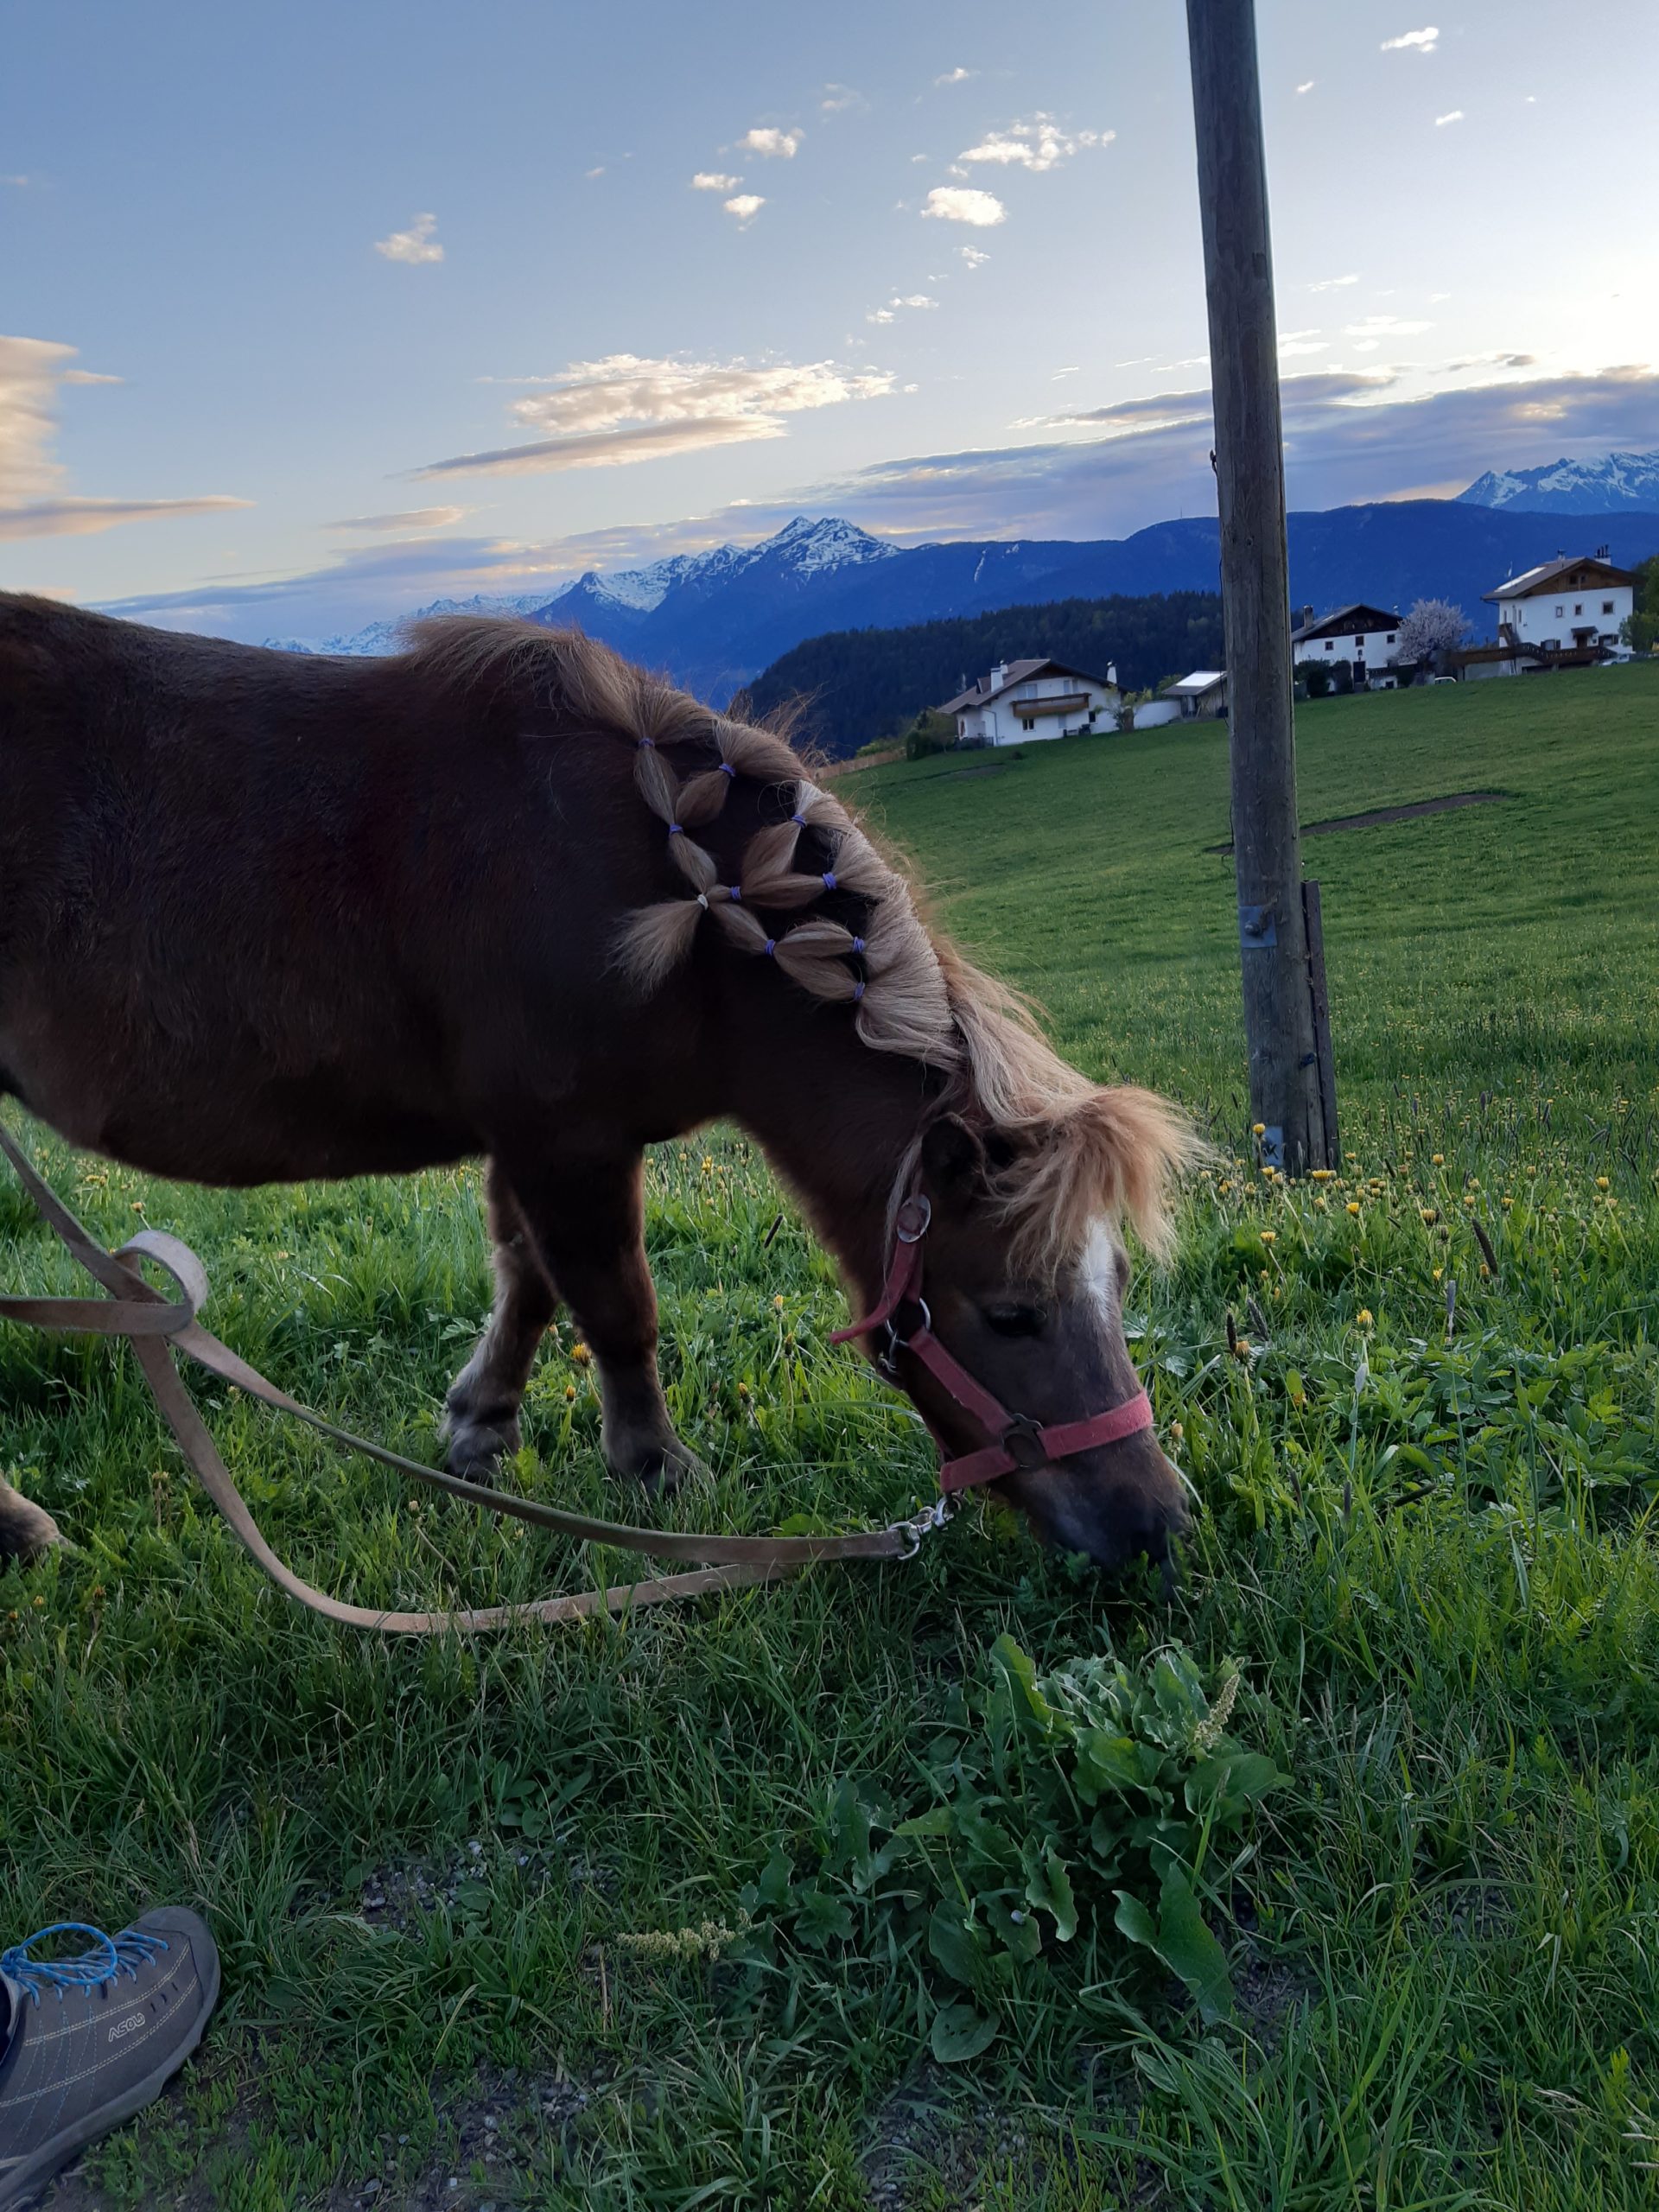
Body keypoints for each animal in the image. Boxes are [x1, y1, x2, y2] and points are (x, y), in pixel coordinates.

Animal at [0, 593, 1203, 1574]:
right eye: (1013, 1313)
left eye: (1115, 1288)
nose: (1157, 1525)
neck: (683, 911)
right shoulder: (566, 1139)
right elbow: (617, 1303)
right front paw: (655, 1467)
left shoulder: (532, 1142)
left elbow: (530, 1278)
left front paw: (480, 1426)